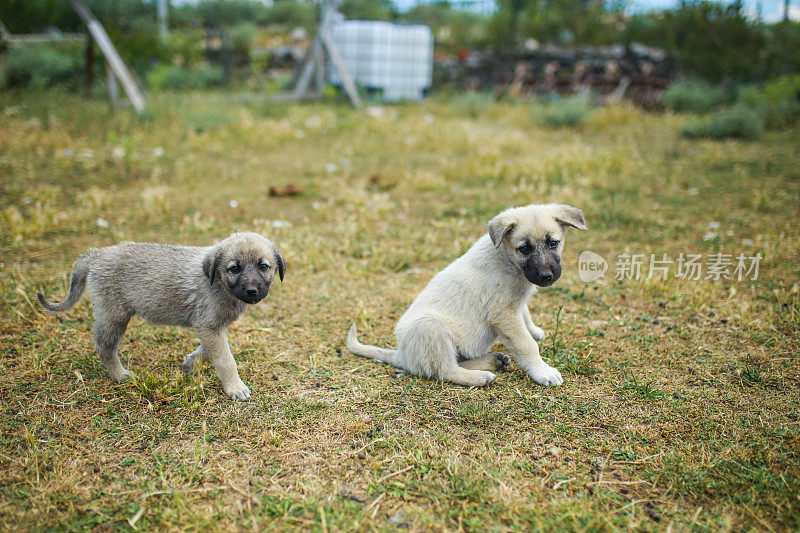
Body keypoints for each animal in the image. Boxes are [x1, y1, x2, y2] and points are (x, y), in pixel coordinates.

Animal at [39, 232, 288, 400]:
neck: (218, 282)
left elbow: (208, 350)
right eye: (234, 268)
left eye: (263, 266)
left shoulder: (213, 327)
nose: (252, 291)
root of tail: (96, 256)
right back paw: (119, 375)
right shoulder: (208, 326)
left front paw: (190, 363)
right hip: (114, 316)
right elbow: (226, 360)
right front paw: (236, 388)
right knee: (105, 348)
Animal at [346, 204, 584, 386]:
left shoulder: (515, 304)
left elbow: (526, 315)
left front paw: (535, 331)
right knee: (445, 370)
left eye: (553, 243)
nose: (546, 276)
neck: (506, 259)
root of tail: (402, 355)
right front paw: (543, 371)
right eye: (524, 249)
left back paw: (493, 361)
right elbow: (527, 345)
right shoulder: (504, 315)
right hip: (430, 325)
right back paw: (479, 377)